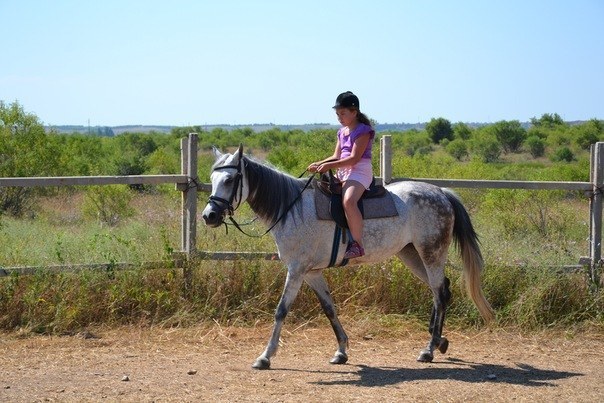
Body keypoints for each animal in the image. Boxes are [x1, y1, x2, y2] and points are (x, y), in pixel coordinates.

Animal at [201, 147, 494, 370]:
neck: (292, 208)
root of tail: (442, 193)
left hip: (431, 252)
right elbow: (329, 308)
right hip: (411, 254)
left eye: (230, 180)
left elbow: (281, 310)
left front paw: (265, 356)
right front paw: (341, 351)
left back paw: (429, 348)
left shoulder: (296, 270)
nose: (209, 215)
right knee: (441, 289)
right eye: (213, 178)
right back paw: (439, 341)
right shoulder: (311, 273)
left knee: (439, 292)